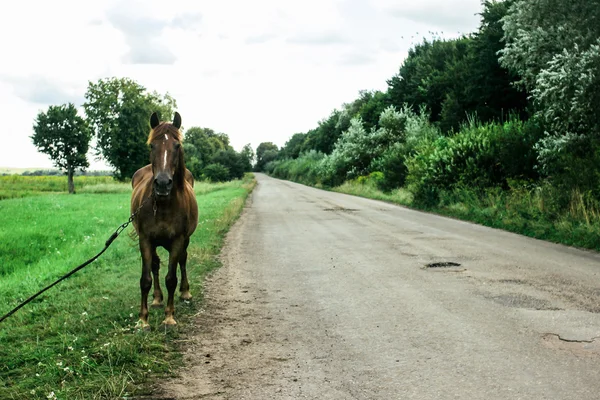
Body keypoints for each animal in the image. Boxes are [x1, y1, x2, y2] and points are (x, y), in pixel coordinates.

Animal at [130, 110, 198, 328]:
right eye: (152, 145)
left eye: (177, 146)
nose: (162, 183)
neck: (163, 205)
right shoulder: (145, 239)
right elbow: (145, 279)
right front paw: (143, 320)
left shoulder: (177, 240)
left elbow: (171, 278)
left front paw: (169, 317)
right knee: (155, 265)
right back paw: (157, 298)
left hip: (185, 240)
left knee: (182, 261)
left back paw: (185, 292)